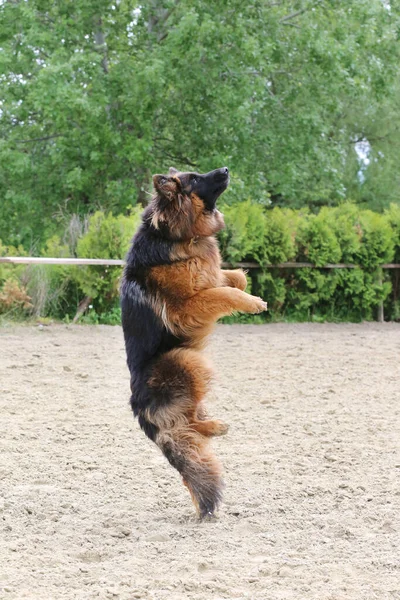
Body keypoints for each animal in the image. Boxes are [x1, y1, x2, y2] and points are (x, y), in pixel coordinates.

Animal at [120, 166, 268, 516]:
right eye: (197, 179)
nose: (225, 169)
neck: (177, 234)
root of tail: (139, 407)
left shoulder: (210, 275)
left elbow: (232, 279)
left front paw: (245, 289)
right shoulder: (185, 308)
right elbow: (222, 292)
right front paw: (253, 303)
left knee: (190, 421)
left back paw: (212, 424)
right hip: (185, 359)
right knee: (186, 425)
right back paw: (213, 428)